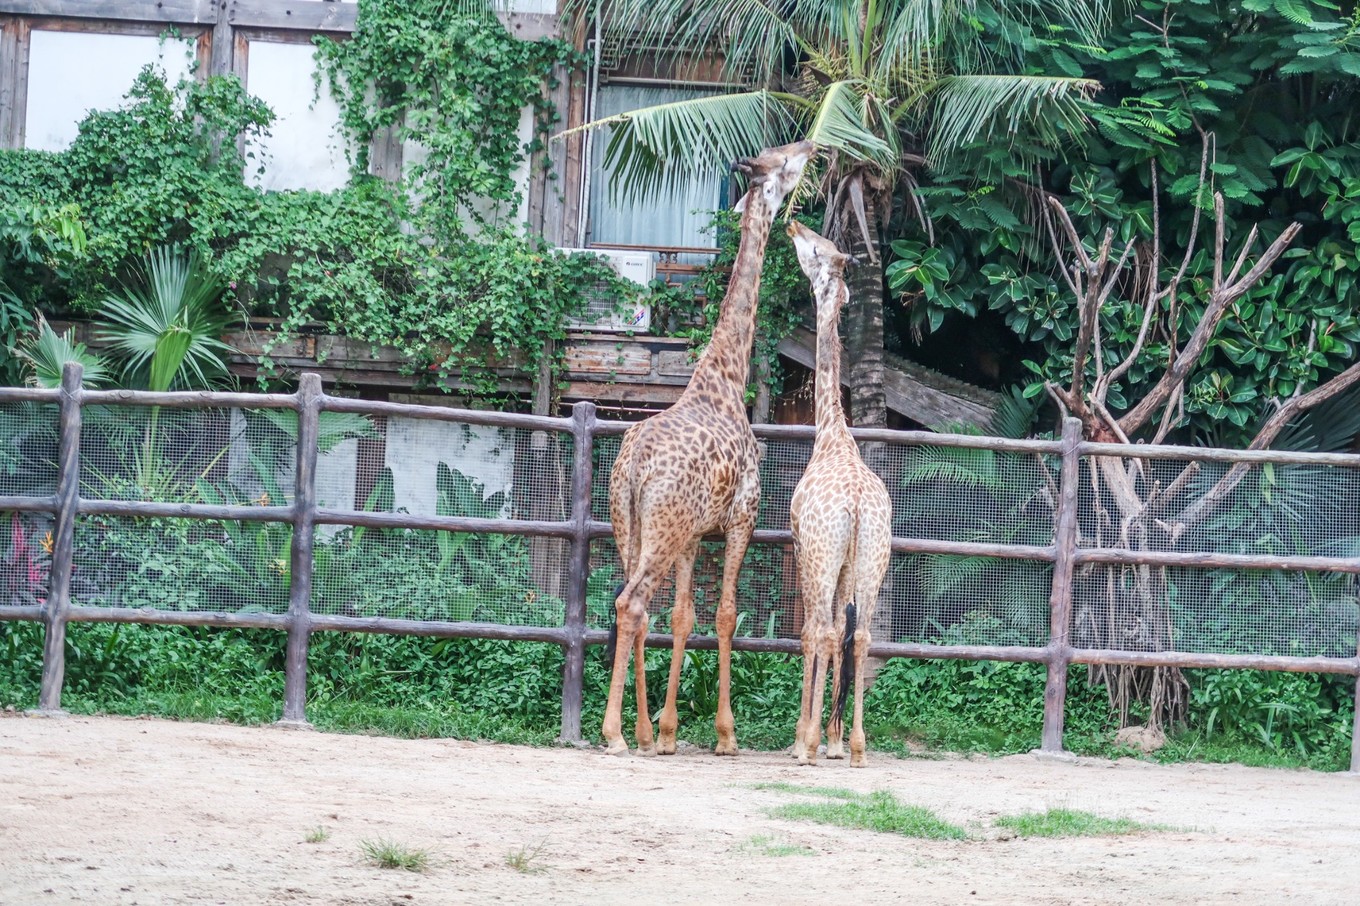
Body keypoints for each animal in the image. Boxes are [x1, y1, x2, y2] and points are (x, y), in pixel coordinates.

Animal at [603, 137, 810, 750]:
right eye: (784, 163)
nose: (813, 143)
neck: (725, 377)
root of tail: (635, 465)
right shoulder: (743, 516)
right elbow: (724, 614)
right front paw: (725, 732)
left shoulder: (694, 534)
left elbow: (683, 616)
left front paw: (667, 730)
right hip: (660, 527)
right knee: (632, 602)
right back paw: (613, 733)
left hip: (632, 523)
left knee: (633, 605)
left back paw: (638, 733)